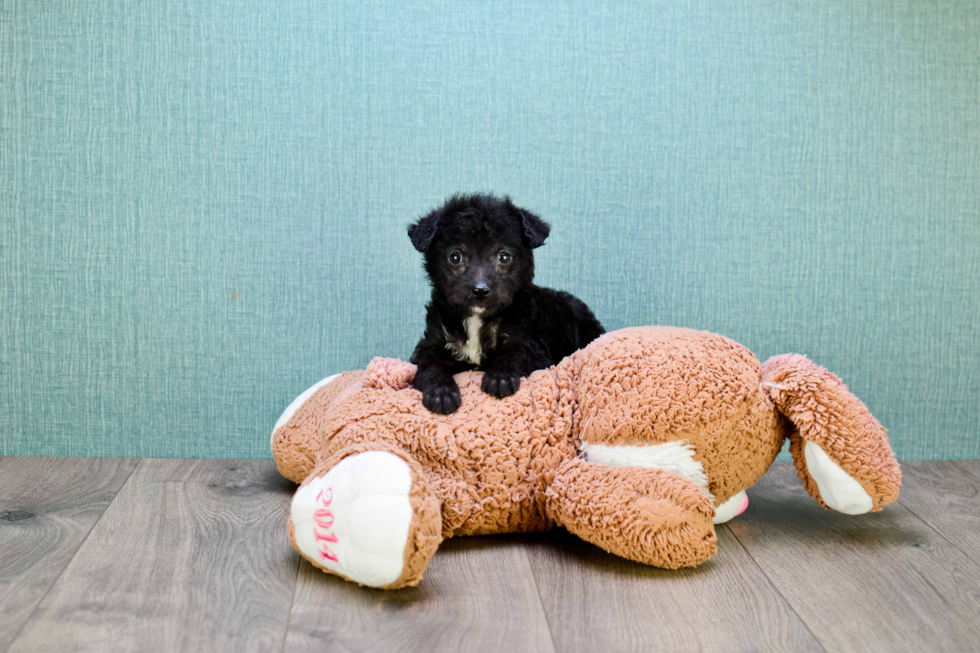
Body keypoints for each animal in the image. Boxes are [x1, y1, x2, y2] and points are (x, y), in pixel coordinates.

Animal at [406, 194, 604, 412]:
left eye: (504, 256)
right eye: (455, 257)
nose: (480, 290)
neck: (477, 319)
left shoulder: (533, 348)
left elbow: (514, 353)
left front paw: (499, 378)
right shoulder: (431, 345)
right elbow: (430, 366)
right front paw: (441, 394)